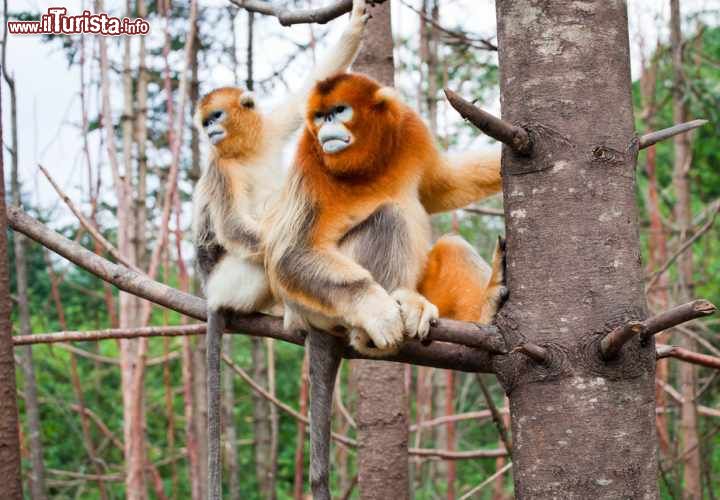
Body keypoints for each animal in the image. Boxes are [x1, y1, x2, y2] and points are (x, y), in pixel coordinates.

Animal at [191, 2, 368, 496]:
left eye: (215, 116)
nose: (208, 132)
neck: (244, 152)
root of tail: (208, 294)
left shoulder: (271, 128)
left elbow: (315, 82)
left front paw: (357, 20)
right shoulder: (219, 171)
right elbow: (234, 229)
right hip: (228, 280)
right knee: (262, 261)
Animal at [262, 71, 504, 500]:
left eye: (338, 111)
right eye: (319, 116)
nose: (326, 127)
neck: (367, 162)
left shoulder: (409, 130)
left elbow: (443, 185)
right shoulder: (309, 158)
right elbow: (288, 255)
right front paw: (378, 312)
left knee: (452, 245)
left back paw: (481, 312)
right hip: (315, 304)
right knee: (388, 216)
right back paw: (379, 322)